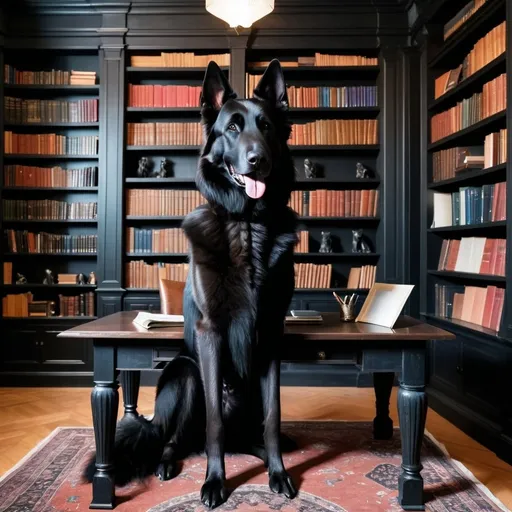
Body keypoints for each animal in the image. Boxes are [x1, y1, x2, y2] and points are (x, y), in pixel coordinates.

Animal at [86, 60, 298, 508]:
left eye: (267, 126)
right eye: (232, 128)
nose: (258, 160)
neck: (246, 224)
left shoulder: (271, 334)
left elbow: (273, 416)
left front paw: (278, 473)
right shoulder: (209, 332)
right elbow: (214, 421)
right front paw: (215, 481)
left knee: (251, 433)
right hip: (185, 374)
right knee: (176, 438)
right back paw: (168, 463)